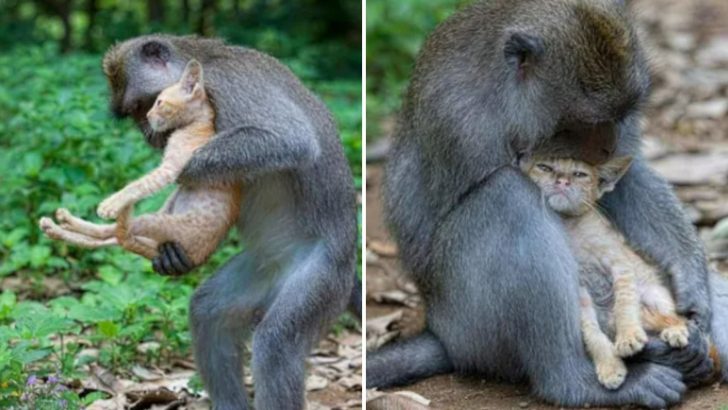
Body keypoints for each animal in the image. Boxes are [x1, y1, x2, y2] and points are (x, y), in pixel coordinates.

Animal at [39, 59, 242, 268]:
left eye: (159, 102)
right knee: (112, 237)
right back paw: (57, 225)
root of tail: (197, 259)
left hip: (157, 222)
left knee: (117, 235)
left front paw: (111, 204)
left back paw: (63, 225)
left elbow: (137, 184)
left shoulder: (170, 169)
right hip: (165, 208)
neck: (198, 124)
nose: (148, 115)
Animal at [104, 36, 360, 410]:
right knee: (208, 313)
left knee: (275, 345)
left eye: (146, 104)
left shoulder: (230, 86)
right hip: (262, 270)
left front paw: (180, 168)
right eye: (135, 113)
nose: (150, 134)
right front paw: (170, 253)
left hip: (321, 278)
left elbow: (290, 139)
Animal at [524, 155, 688, 390]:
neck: (571, 226)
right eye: (545, 167)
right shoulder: (579, 290)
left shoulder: (620, 264)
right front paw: (610, 366)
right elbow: (592, 333)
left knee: (677, 317)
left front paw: (628, 336)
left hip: (654, 294)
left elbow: (624, 305)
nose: (562, 181)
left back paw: (675, 330)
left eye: (580, 174)